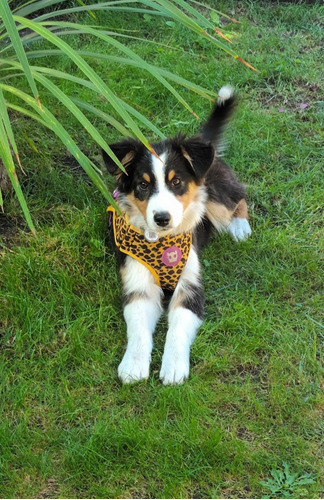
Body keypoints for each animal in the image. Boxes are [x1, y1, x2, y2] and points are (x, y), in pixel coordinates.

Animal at [102, 86, 252, 384]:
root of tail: (206, 145)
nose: (162, 218)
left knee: (239, 196)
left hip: (214, 198)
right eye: (143, 185)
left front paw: (173, 367)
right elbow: (137, 328)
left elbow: (178, 328)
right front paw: (133, 365)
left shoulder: (190, 287)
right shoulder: (137, 284)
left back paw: (240, 226)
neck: (161, 242)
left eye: (177, 182)